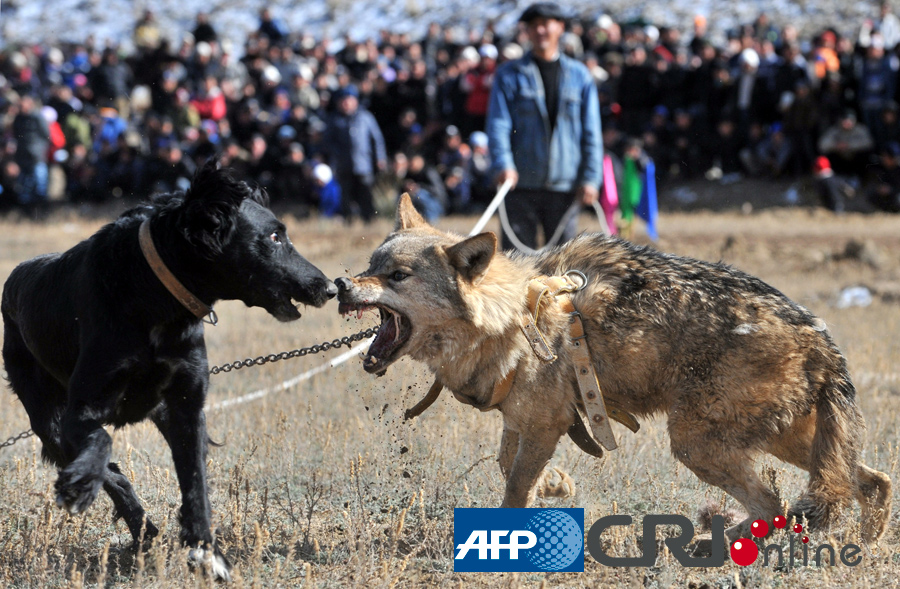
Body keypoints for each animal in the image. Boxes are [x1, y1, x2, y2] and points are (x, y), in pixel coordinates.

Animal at [1, 161, 338, 580]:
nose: (330, 288)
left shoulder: (186, 408)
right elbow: (103, 444)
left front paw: (206, 551)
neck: (154, 297)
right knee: (106, 467)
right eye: (275, 236)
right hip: (47, 421)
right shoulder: (80, 411)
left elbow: (196, 484)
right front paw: (81, 484)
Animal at [334, 196, 888, 548]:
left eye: (397, 276)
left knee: (774, 505)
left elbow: (514, 490)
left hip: (697, 443)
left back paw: (705, 545)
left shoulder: (545, 425)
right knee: (866, 482)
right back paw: (864, 547)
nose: (339, 285)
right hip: (786, 442)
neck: (514, 314)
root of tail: (821, 336)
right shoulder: (522, 424)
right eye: (370, 265)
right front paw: (554, 489)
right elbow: (512, 469)